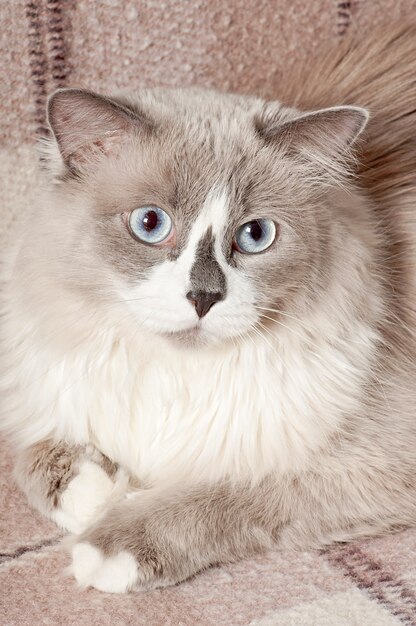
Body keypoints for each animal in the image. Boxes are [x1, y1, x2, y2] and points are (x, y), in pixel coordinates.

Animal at [0, 24, 416, 588]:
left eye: (255, 235)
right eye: (150, 223)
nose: (203, 297)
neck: (173, 376)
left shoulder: (364, 463)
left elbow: (222, 492)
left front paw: (109, 542)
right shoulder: (43, 391)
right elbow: (34, 456)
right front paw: (97, 492)